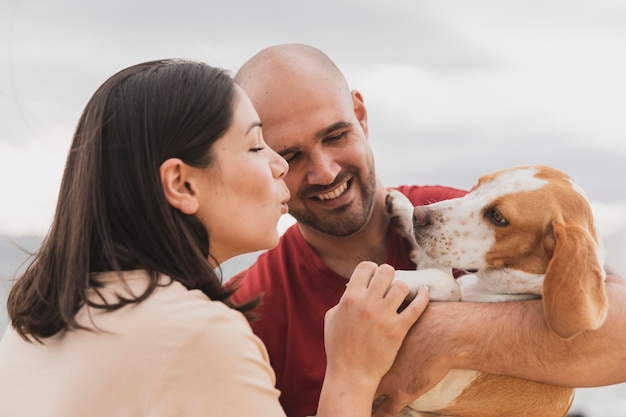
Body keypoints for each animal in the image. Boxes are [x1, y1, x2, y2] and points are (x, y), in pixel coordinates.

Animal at [382, 164, 608, 416]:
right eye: (478, 185)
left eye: (498, 217)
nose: (418, 215)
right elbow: (438, 268)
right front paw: (403, 208)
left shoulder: (430, 390)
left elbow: (448, 283)